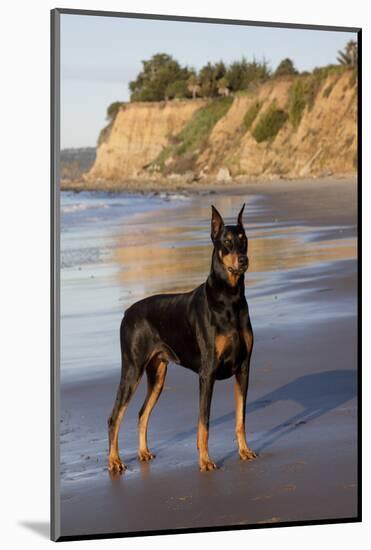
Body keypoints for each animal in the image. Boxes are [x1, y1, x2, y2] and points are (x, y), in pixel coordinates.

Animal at [107, 205, 256, 472]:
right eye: (227, 242)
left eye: (244, 240)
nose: (243, 260)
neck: (230, 298)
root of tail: (127, 312)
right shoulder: (207, 373)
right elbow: (203, 422)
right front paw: (205, 461)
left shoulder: (244, 368)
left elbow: (241, 417)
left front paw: (244, 451)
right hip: (132, 368)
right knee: (115, 416)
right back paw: (114, 461)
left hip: (157, 374)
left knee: (142, 413)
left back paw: (143, 452)